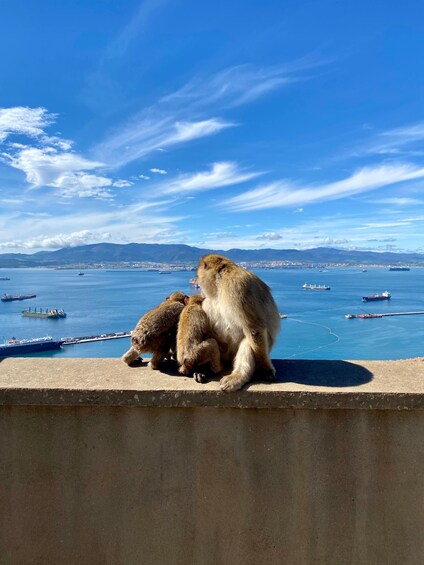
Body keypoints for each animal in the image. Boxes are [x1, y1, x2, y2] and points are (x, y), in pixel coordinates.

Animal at [196, 253, 282, 390]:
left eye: (198, 275)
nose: (197, 281)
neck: (220, 283)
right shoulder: (208, 300)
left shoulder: (238, 286)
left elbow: (254, 328)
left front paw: (265, 368)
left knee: (249, 341)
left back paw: (237, 377)